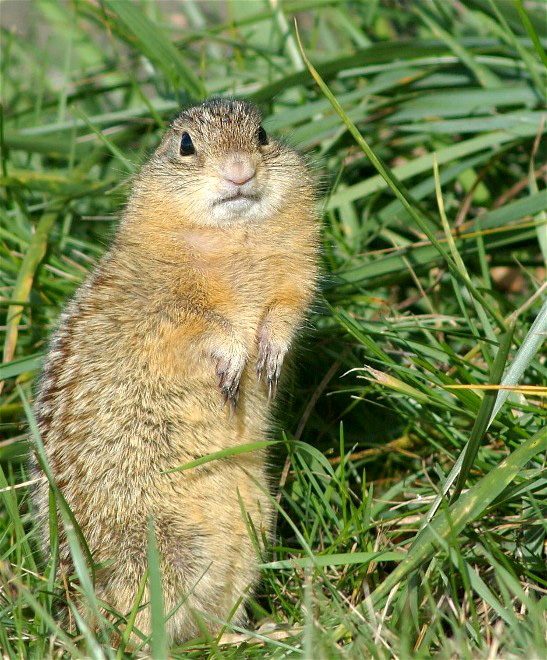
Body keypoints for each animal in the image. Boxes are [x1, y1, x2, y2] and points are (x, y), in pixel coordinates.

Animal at [30, 98, 319, 643]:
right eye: (185, 145)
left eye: (262, 134)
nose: (239, 170)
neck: (235, 240)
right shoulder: (163, 308)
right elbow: (200, 326)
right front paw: (233, 357)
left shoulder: (294, 279)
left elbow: (286, 311)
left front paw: (269, 354)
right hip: (159, 552)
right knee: (139, 633)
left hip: (247, 537)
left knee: (210, 629)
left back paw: (260, 633)